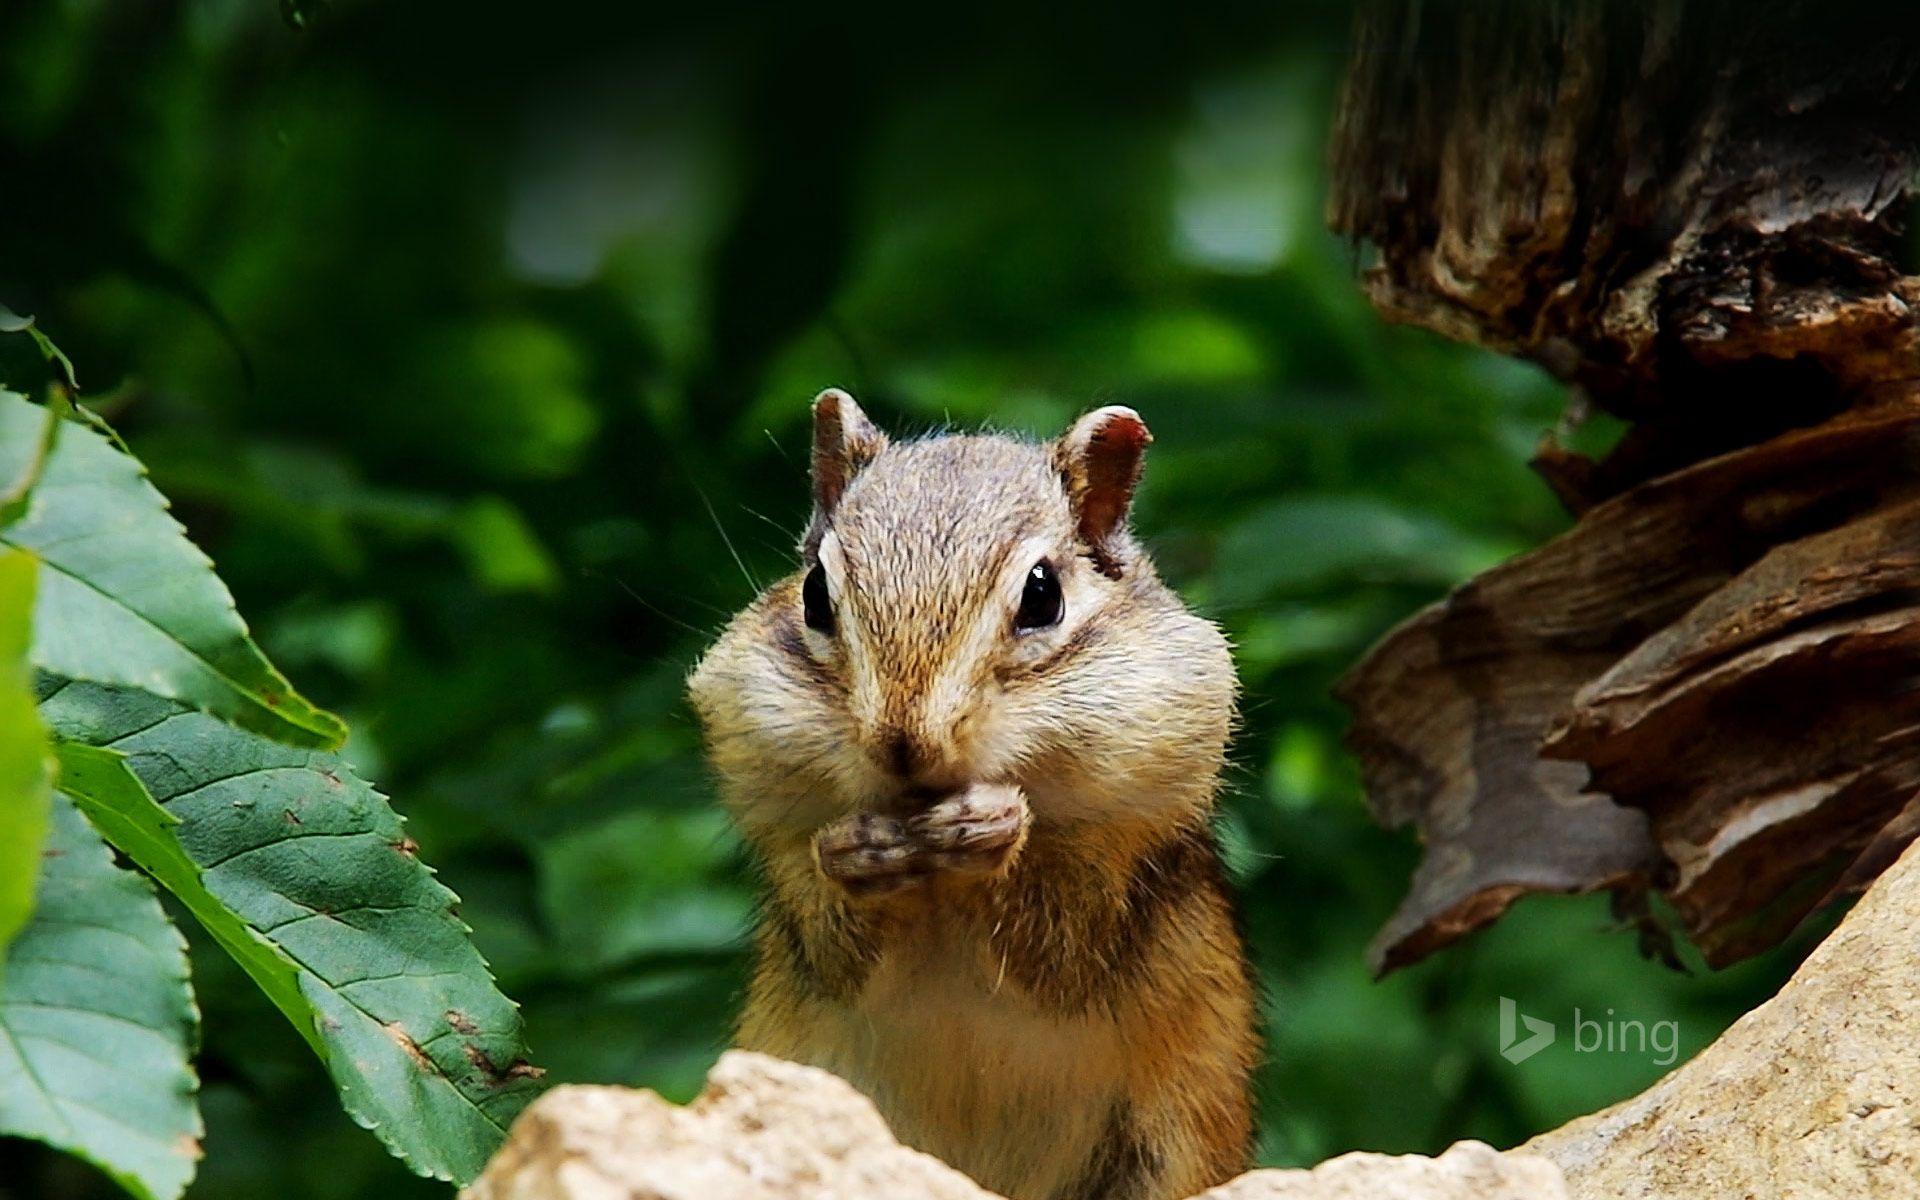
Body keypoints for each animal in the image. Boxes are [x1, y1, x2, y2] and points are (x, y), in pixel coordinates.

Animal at [688, 390, 1257, 1200]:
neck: (933, 877)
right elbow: (831, 940)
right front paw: (857, 851)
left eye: (1043, 595)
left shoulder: (1125, 845)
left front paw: (994, 824)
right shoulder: (780, 828)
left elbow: (1063, 947)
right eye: (814, 595)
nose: (906, 745)